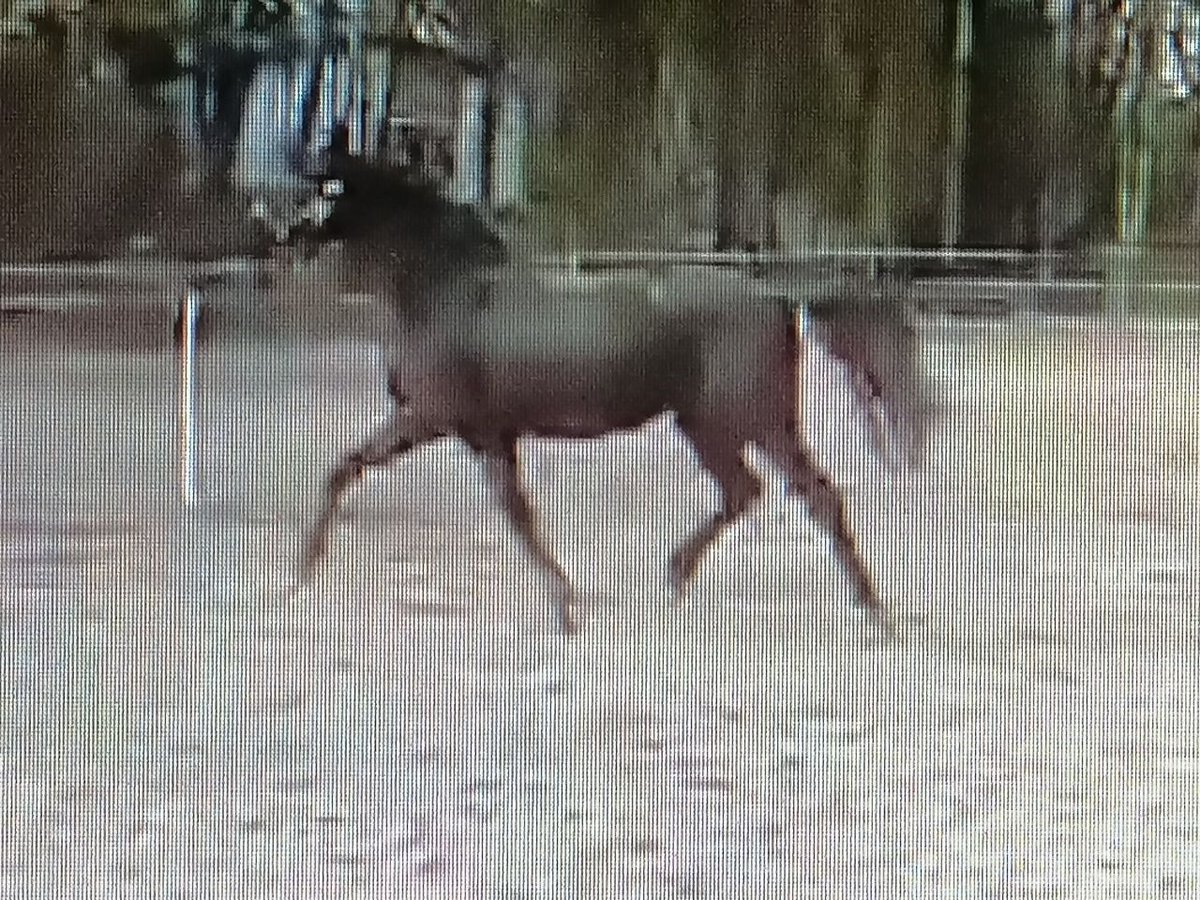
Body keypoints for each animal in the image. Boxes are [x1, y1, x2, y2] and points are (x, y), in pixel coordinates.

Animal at [290, 150, 926, 633]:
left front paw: (303, 570)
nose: (280, 234)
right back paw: (682, 582)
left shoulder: (433, 418)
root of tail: (775, 295)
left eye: (327, 188)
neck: (447, 294)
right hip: (723, 425)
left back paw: (872, 612)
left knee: (802, 495)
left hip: (747, 422)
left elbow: (357, 471)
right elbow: (508, 508)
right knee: (760, 492)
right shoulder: (483, 433)